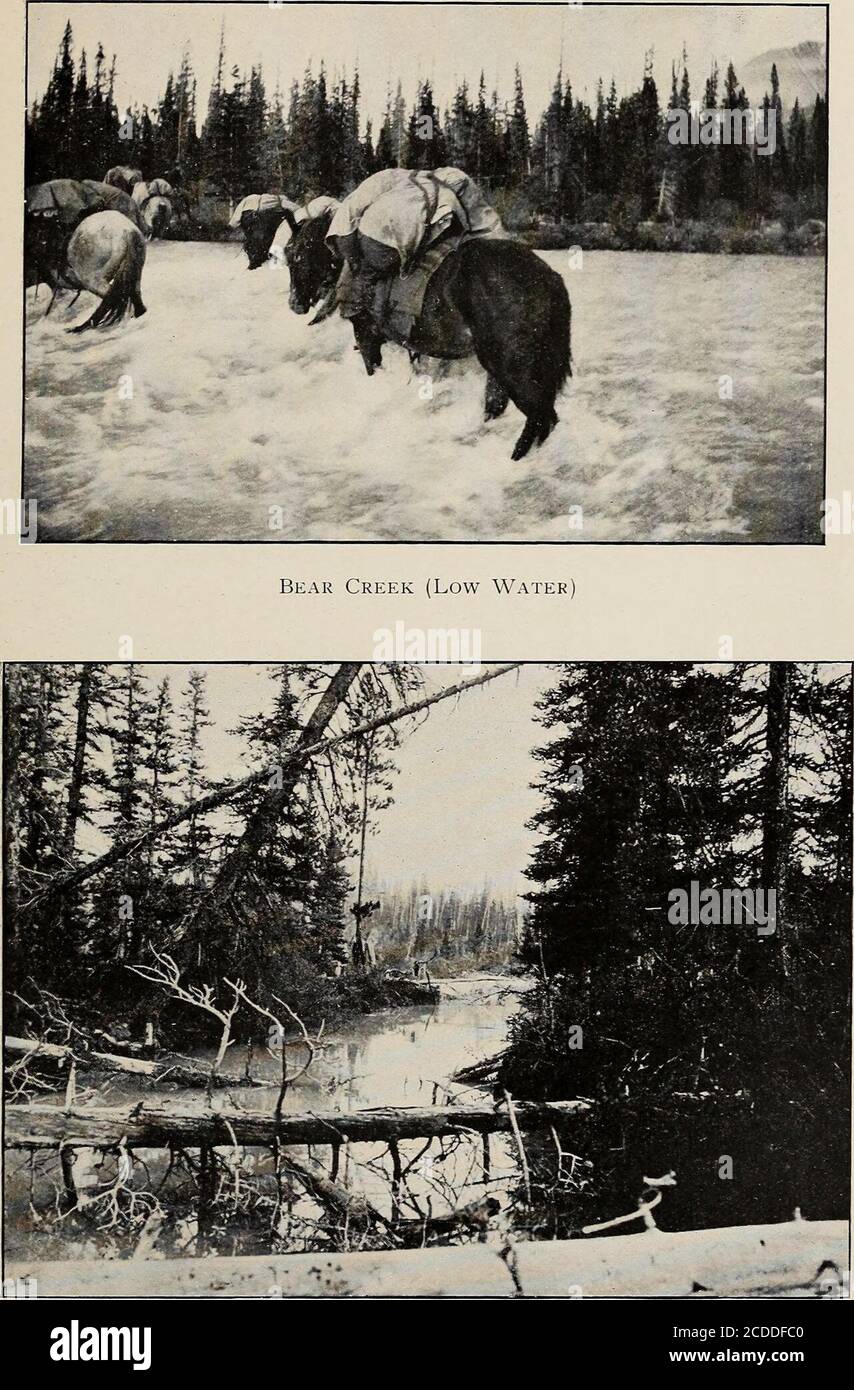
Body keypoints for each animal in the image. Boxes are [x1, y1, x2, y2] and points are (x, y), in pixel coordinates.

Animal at [244, 202, 573, 461]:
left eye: (297, 254)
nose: (295, 304)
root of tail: (548, 278)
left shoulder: (366, 335)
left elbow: (372, 366)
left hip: (512, 366)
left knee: (540, 416)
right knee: (506, 406)